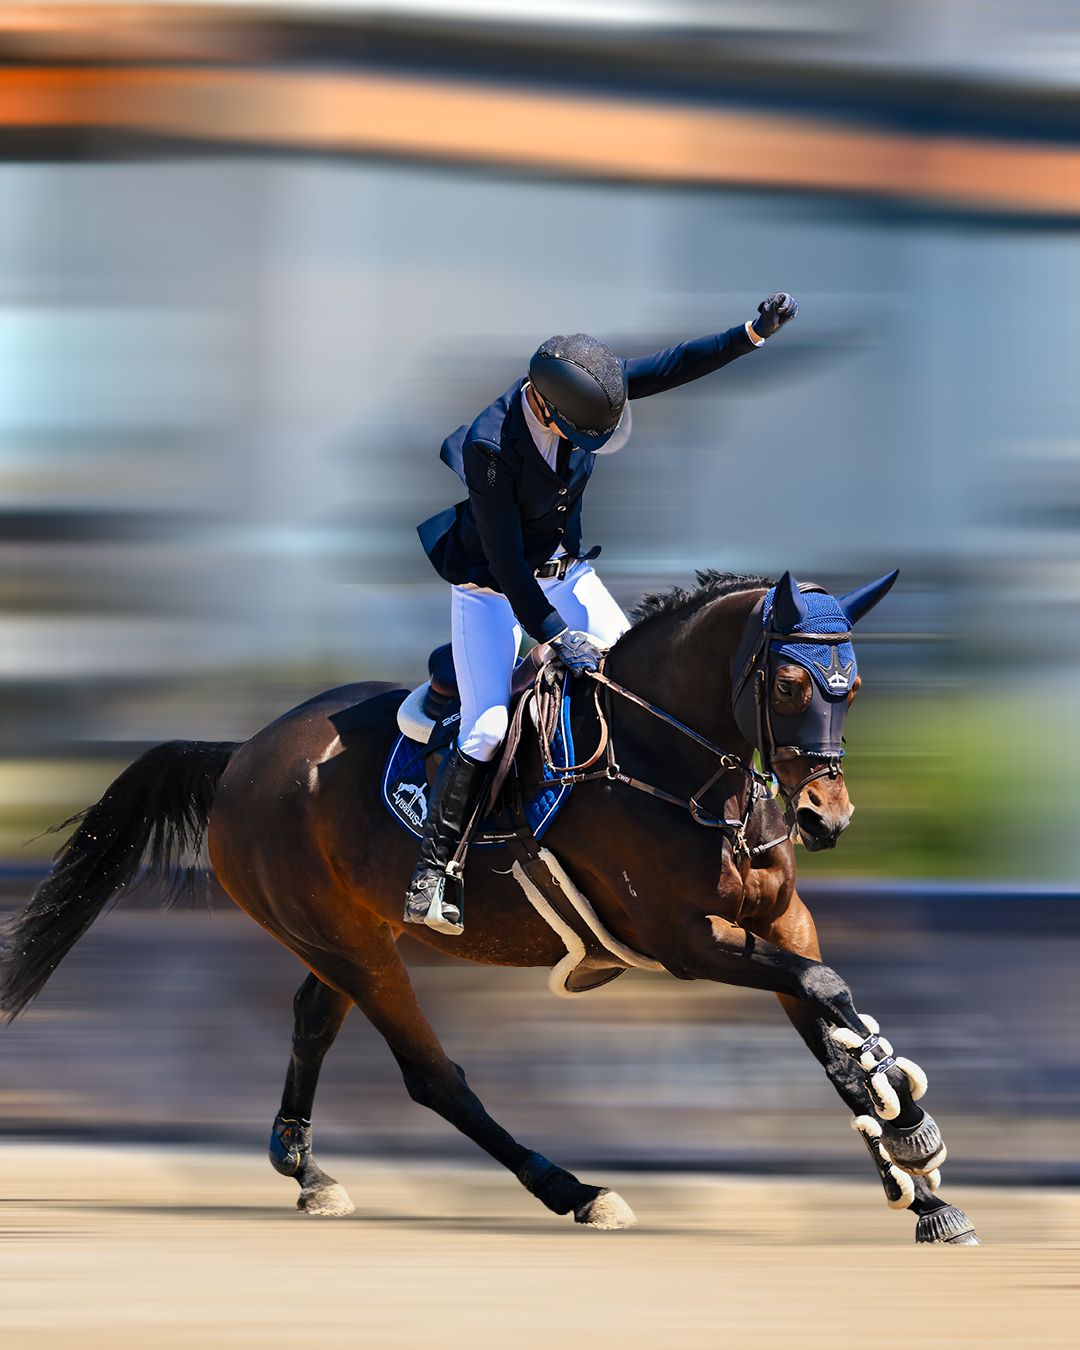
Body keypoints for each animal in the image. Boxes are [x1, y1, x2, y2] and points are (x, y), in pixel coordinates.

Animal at [0, 569, 978, 1244]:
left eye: (853, 685)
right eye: (788, 684)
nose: (826, 816)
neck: (672, 760)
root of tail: (240, 755)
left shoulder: (778, 921)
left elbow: (827, 1017)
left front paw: (921, 1182)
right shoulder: (682, 938)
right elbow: (827, 988)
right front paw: (910, 1128)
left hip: (345, 934)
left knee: (313, 1019)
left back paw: (305, 1169)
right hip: (355, 945)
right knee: (433, 1076)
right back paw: (575, 1190)